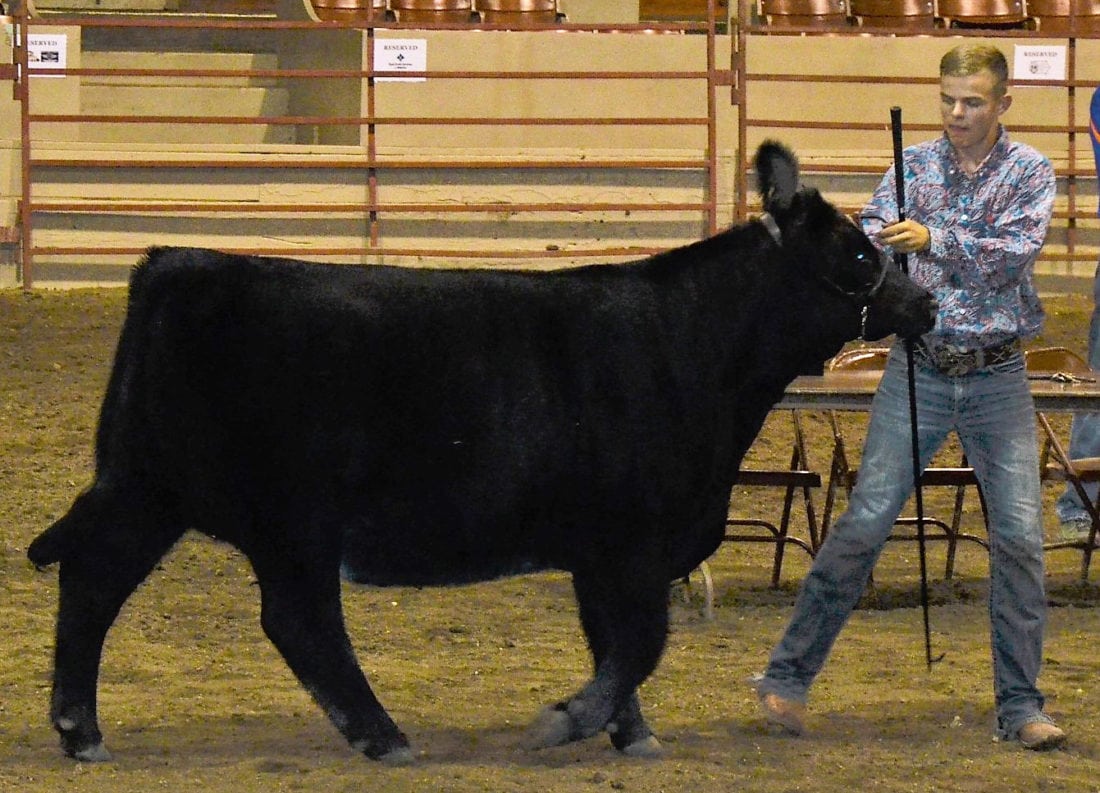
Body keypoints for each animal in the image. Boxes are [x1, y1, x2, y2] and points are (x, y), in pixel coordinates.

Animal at [28, 141, 936, 765]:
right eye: (857, 252)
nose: (925, 301)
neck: (693, 346)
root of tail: (177, 262)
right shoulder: (631, 537)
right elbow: (641, 640)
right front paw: (567, 719)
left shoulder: (601, 550)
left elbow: (616, 642)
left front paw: (627, 730)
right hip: (279, 515)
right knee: (293, 618)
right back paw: (382, 734)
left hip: (153, 489)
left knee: (98, 576)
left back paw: (81, 727)